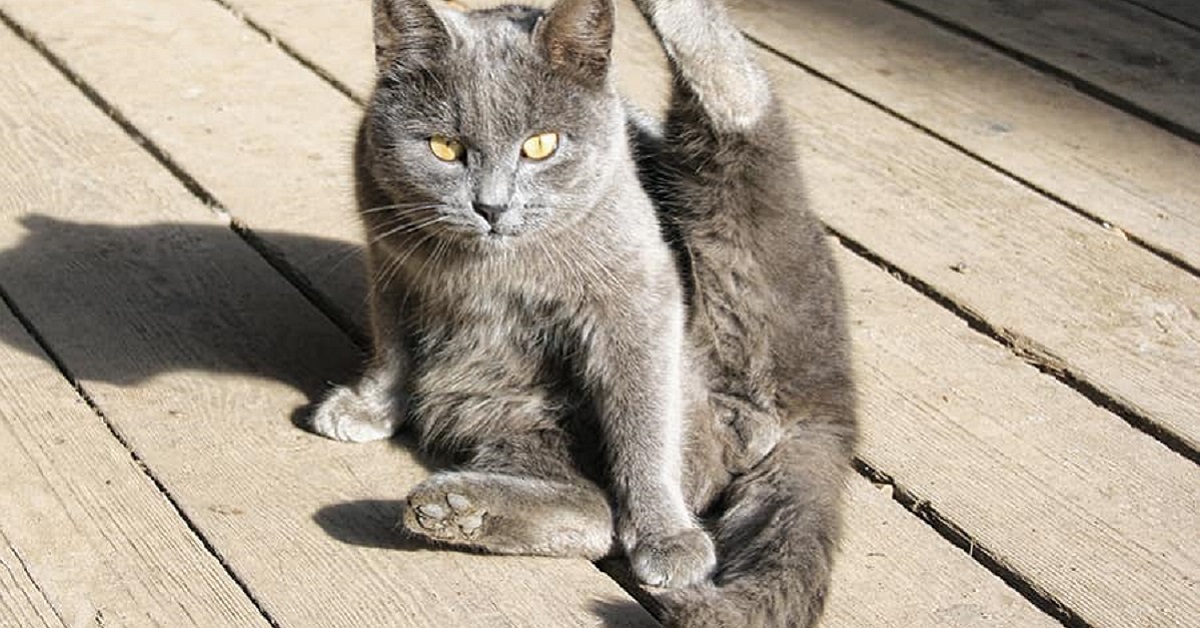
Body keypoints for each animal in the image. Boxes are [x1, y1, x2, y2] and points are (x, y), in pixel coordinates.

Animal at [307, 0, 854, 624]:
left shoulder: (637, 296)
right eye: (444, 148)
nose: (491, 206)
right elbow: (392, 351)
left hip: (733, 240)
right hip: (522, 418)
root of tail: (827, 402)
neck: (491, 269)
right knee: (595, 514)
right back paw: (455, 509)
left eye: (541, 145)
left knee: (739, 103)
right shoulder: (392, 267)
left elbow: (643, 424)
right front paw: (367, 407)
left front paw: (666, 535)